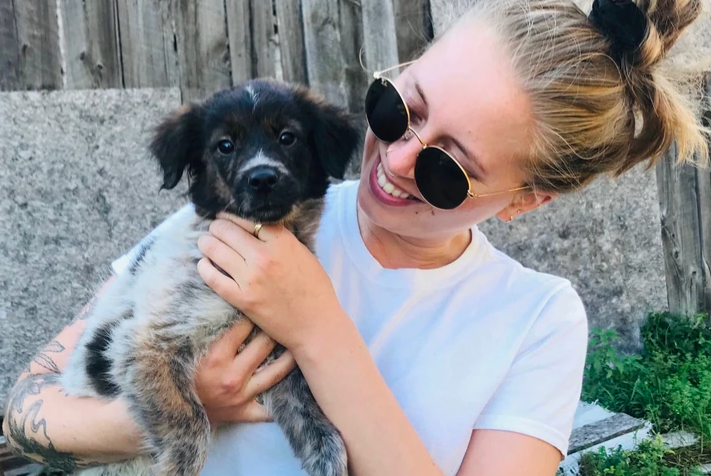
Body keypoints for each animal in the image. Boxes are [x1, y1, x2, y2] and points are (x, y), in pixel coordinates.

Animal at [60, 79, 362, 476]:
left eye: (287, 137)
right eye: (225, 146)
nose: (262, 179)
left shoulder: (280, 357)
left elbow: (315, 422)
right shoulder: (144, 343)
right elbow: (190, 423)